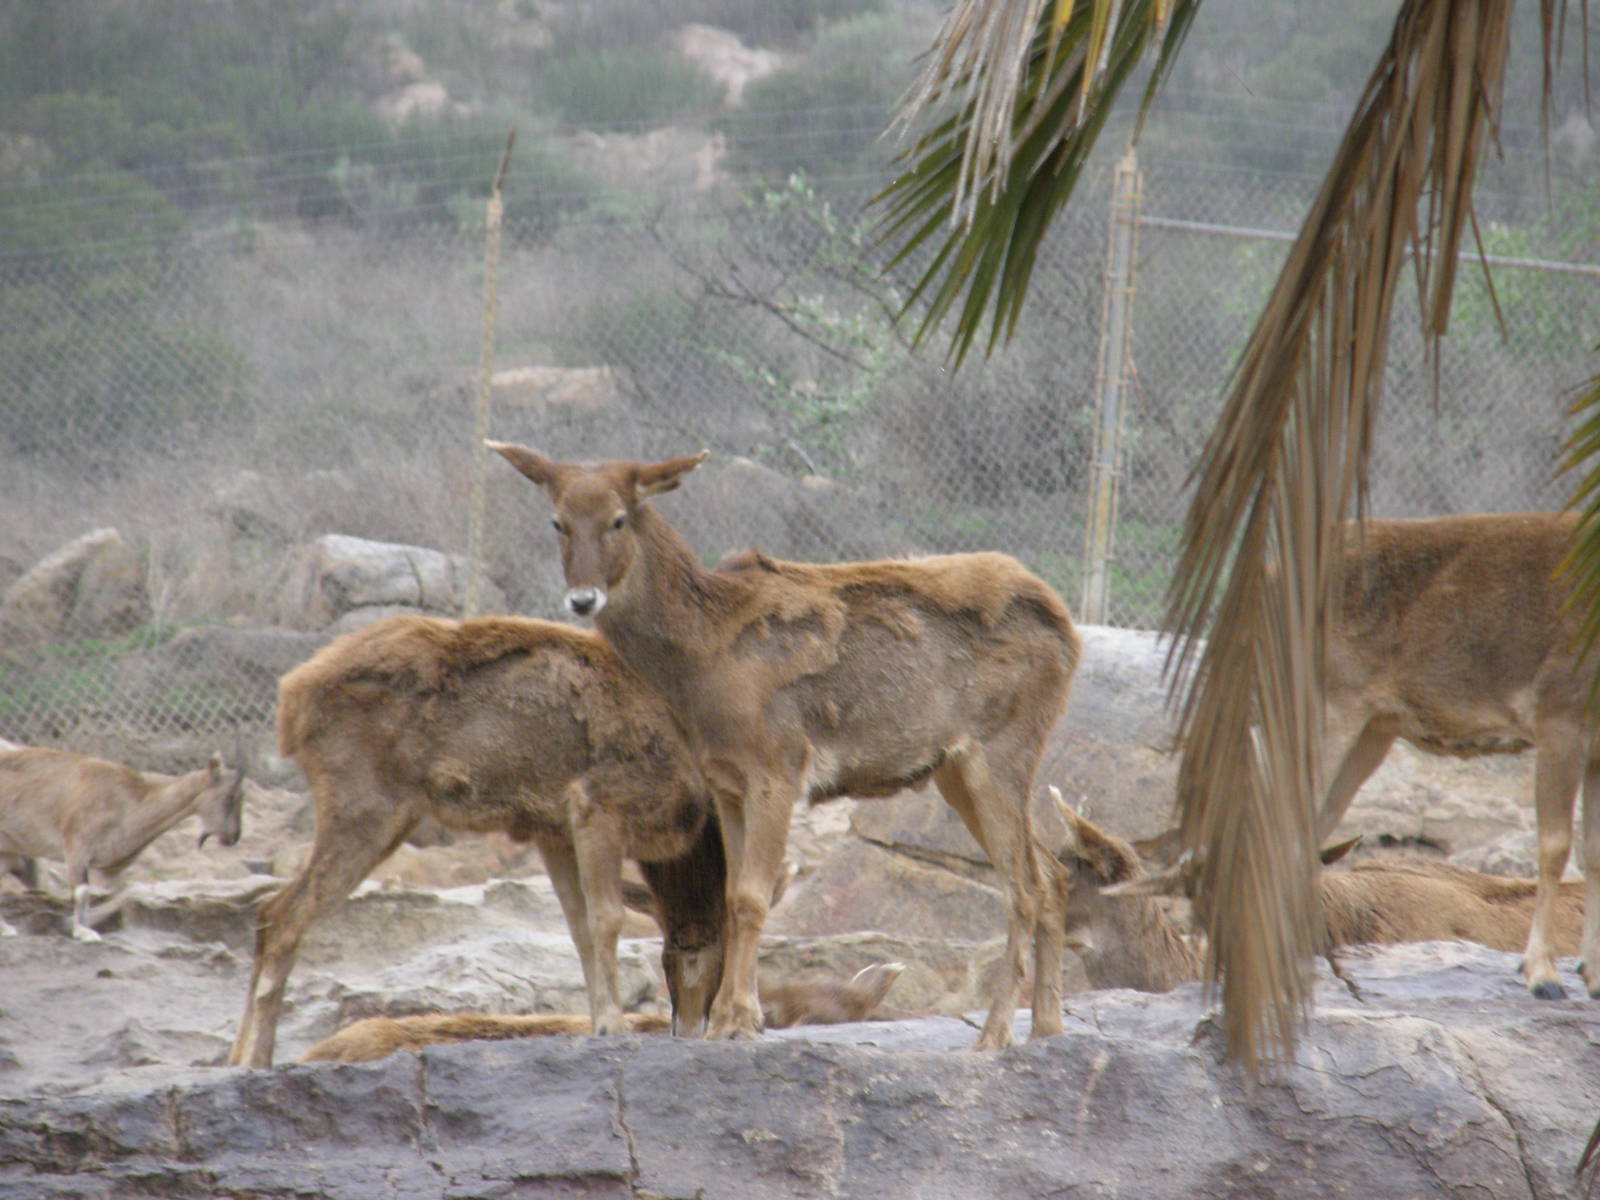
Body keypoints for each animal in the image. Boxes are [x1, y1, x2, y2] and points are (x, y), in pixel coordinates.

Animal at [0, 746, 245, 942]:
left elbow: (130, 891)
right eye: (231, 797)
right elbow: (82, 891)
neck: (127, 803)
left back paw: (5, 928)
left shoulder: (111, 866)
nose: (233, 837)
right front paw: (81, 931)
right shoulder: (76, 848)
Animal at [228, 613, 731, 1069]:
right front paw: (612, 1025)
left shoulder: (553, 829)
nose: (688, 1028)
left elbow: (579, 929)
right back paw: (257, 1059)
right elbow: (606, 918)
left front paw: (597, 1024)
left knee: (268, 912)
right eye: (687, 956)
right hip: (365, 804)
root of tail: (291, 699)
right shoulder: (597, 803)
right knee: (284, 916)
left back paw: (239, 1056)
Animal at [488, 443, 1081, 1050]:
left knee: (1022, 886)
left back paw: (994, 1034)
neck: (701, 663)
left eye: (618, 519)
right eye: (557, 521)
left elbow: (752, 897)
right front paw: (732, 1018)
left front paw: (735, 1021)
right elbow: (731, 898)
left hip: (1003, 747)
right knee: (1053, 875)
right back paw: (1048, 1027)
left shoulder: (780, 763)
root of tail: (1067, 630)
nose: (583, 599)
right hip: (955, 769)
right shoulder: (725, 780)